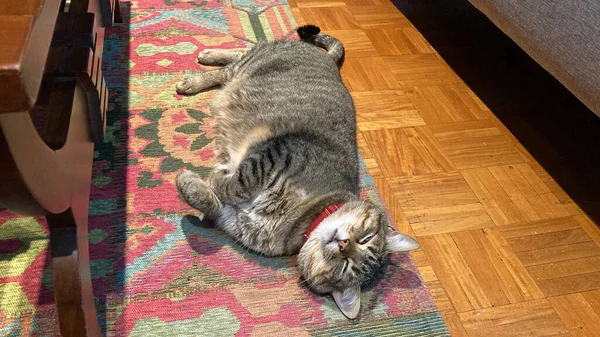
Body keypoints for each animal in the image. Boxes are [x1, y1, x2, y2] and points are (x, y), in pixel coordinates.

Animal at [176, 24, 420, 318]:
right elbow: (240, 183)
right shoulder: (277, 153)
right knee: (241, 55)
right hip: (255, 63)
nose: (343, 244)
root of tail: (329, 62)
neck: (304, 216)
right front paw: (217, 178)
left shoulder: (233, 219)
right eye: (366, 239)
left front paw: (195, 182)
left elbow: (212, 199)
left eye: (346, 267)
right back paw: (201, 67)